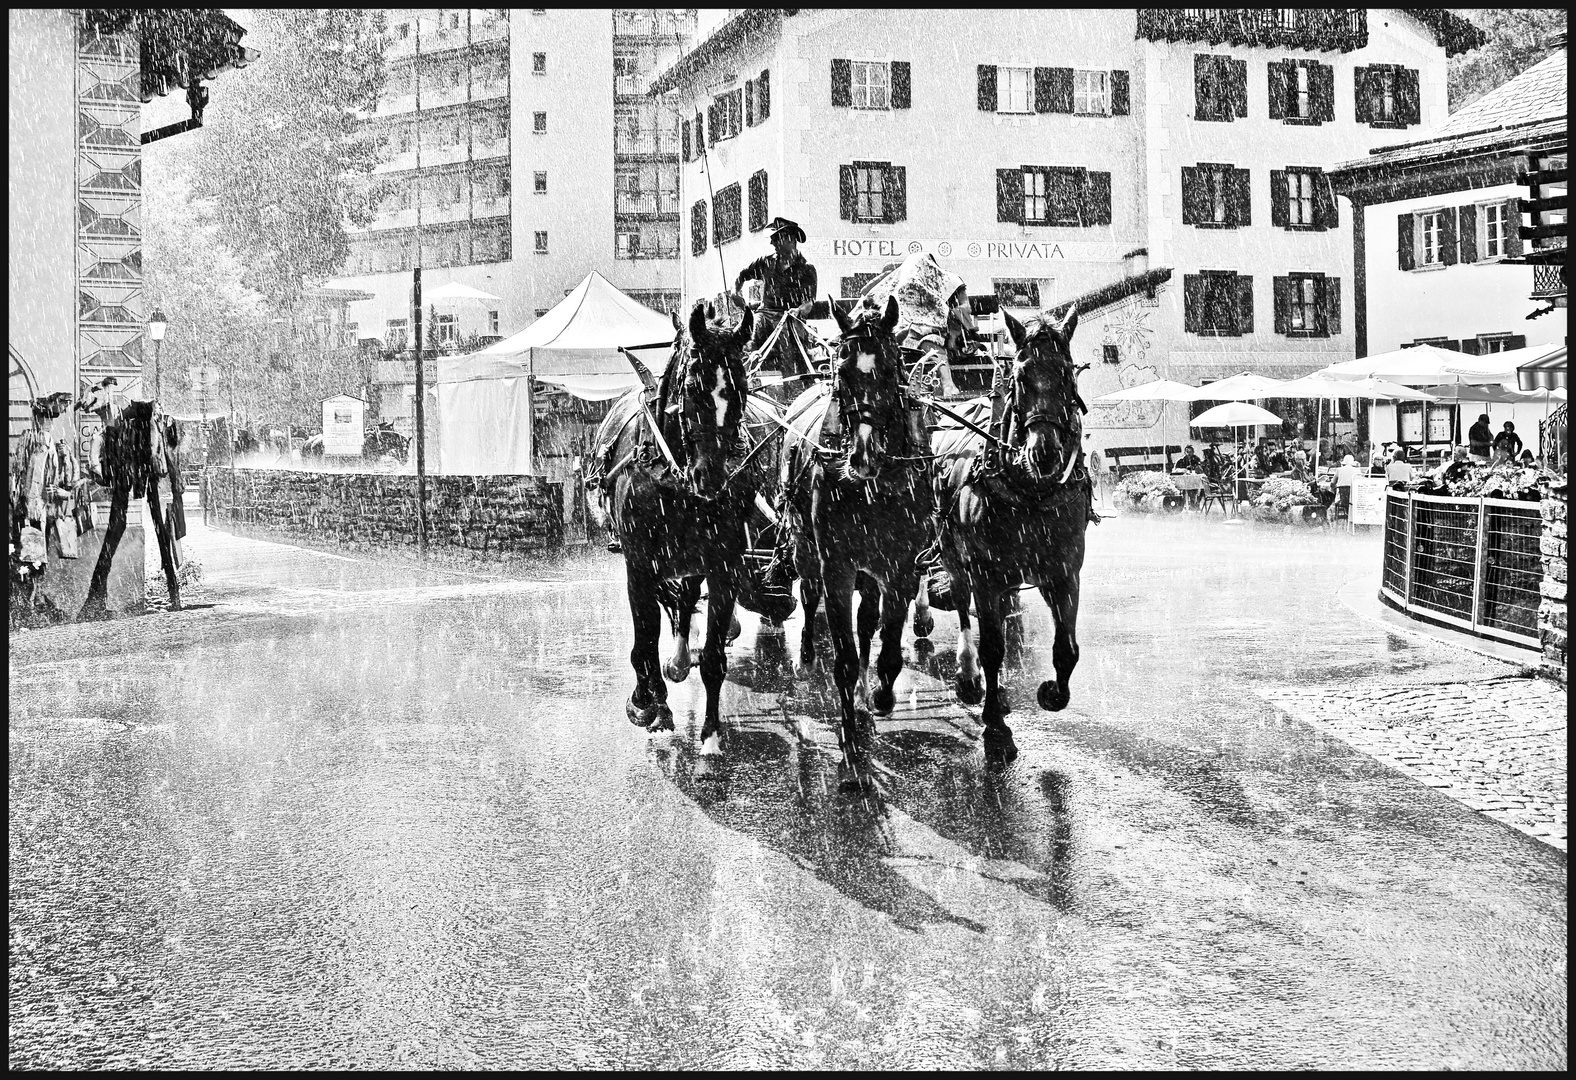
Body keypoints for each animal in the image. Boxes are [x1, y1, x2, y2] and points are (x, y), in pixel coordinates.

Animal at [592, 302, 759, 756]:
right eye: (693, 387)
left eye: (741, 386)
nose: (712, 476)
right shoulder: (640, 567)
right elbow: (644, 641)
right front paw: (646, 703)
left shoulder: (723, 565)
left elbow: (715, 653)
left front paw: (711, 735)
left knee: (684, 603)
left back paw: (682, 662)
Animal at [781, 294, 926, 775]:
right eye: (841, 372)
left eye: (892, 367)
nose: (863, 456)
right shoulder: (837, 567)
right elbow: (842, 656)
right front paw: (849, 743)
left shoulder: (900, 567)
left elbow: (886, 642)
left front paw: (878, 694)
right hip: (806, 548)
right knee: (808, 595)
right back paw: (808, 654)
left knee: (867, 622)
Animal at [926, 302, 1090, 756]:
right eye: (1019, 377)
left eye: (1068, 374)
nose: (1045, 452)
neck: (1031, 491)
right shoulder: (985, 574)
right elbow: (992, 648)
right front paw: (996, 729)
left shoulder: (1065, 572)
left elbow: (1067, 648)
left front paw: (1052, 693)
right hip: (953, 553)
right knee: (963, 607)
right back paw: (970, 679)